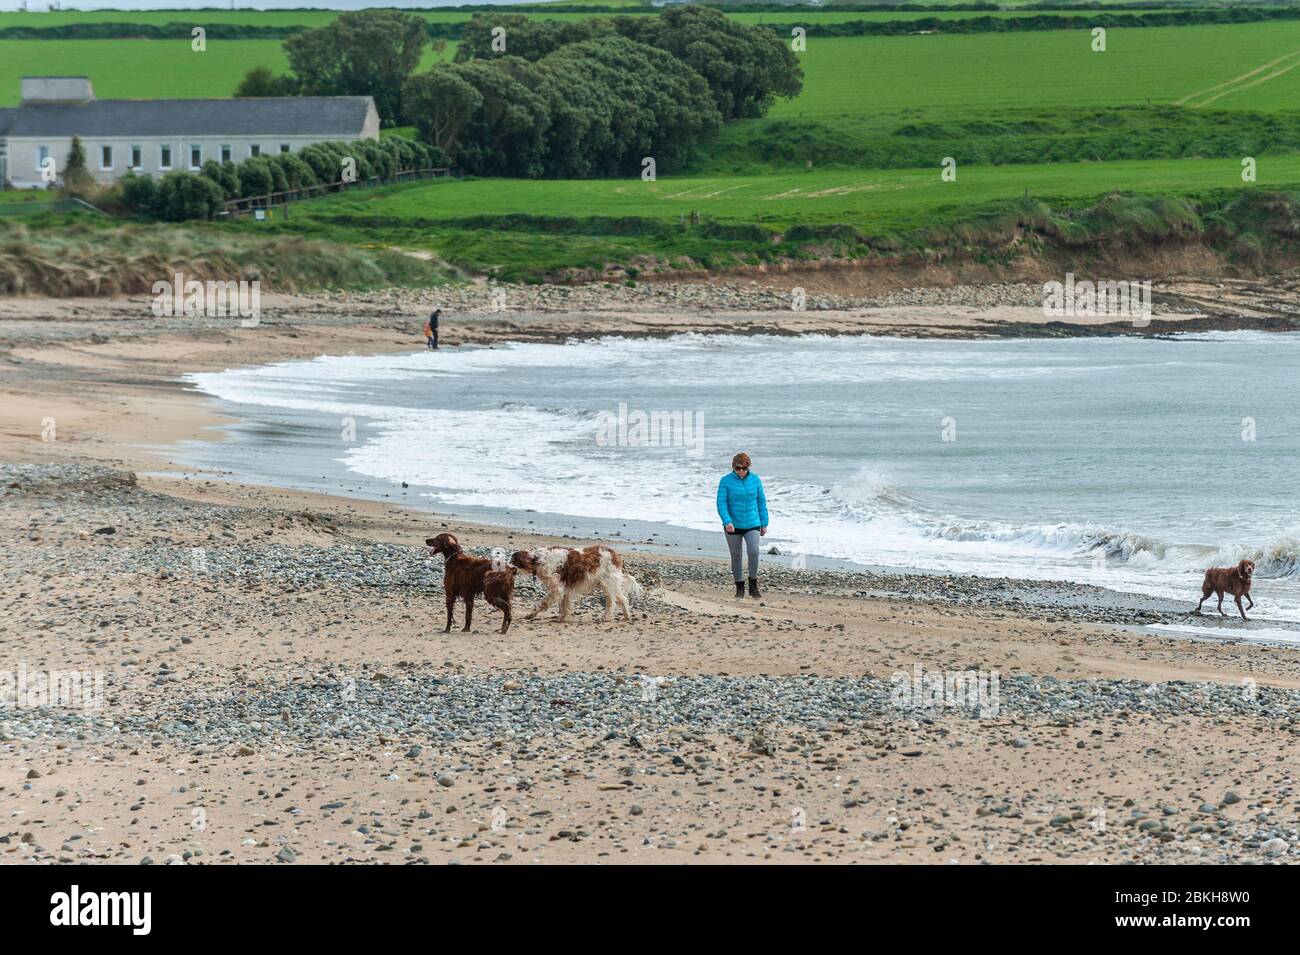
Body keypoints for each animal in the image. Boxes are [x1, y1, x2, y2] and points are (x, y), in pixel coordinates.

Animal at [512, 548, 644, 623]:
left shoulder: (557, 588)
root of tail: (615, 555)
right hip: (611, 584)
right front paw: (562, 618)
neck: (538, 559)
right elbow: (565, 605)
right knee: (623, 599)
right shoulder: (565, 588)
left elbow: (542, 603)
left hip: (608, 584)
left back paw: (605, 617)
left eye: (513, 561)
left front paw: (531, 614)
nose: (507, 566)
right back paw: (627, 616)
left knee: (611, 602)